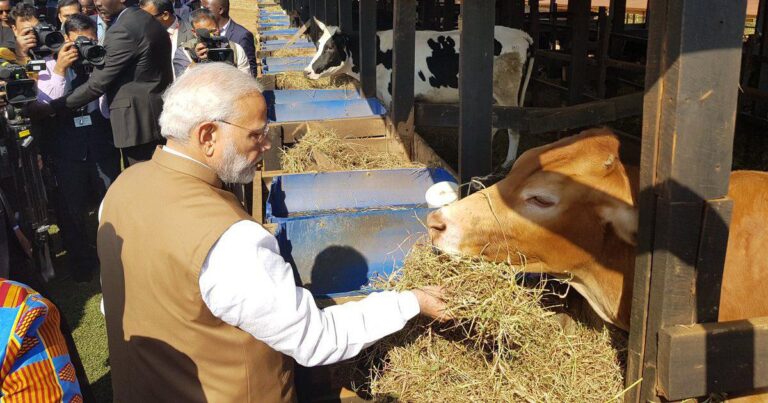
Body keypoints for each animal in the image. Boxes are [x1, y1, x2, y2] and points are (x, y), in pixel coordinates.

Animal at [303, 19, 535, 167]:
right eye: (318, 44)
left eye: (330, 48)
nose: (306, 71)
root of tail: (523, 35)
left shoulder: (393, 97)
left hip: (507, 91)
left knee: (513, 126)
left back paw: (508, 163)